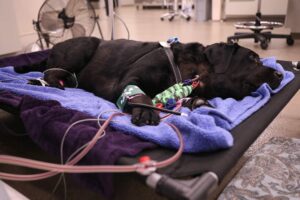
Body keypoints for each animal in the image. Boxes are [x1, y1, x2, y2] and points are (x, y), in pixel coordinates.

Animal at [14, 36, 284, 126]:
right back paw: (49, 83)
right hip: (85, 45)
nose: (280, 74)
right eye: (253, 59)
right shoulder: (128, 79)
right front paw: (146, 111)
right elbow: (140, 94)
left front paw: (198, 102)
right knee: (50, 73)